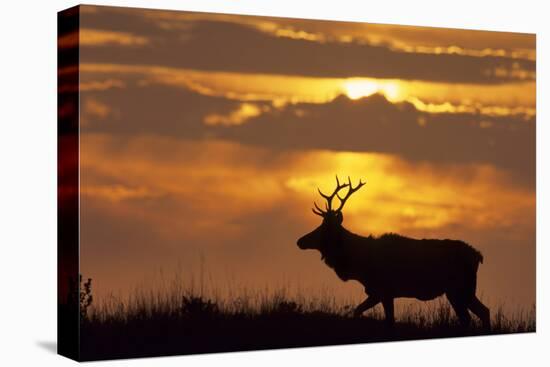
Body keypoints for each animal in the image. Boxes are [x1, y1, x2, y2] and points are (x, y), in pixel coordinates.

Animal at [300, 176, 494, 330]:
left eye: (325, 228)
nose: (300, 241)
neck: (359, 265)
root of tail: (478, 256)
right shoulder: (380, 292)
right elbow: (359, 311)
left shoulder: (383, 290)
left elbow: (384, 319)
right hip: (459, 291)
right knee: (481, 312)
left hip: (460, 288)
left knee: (473, 315)